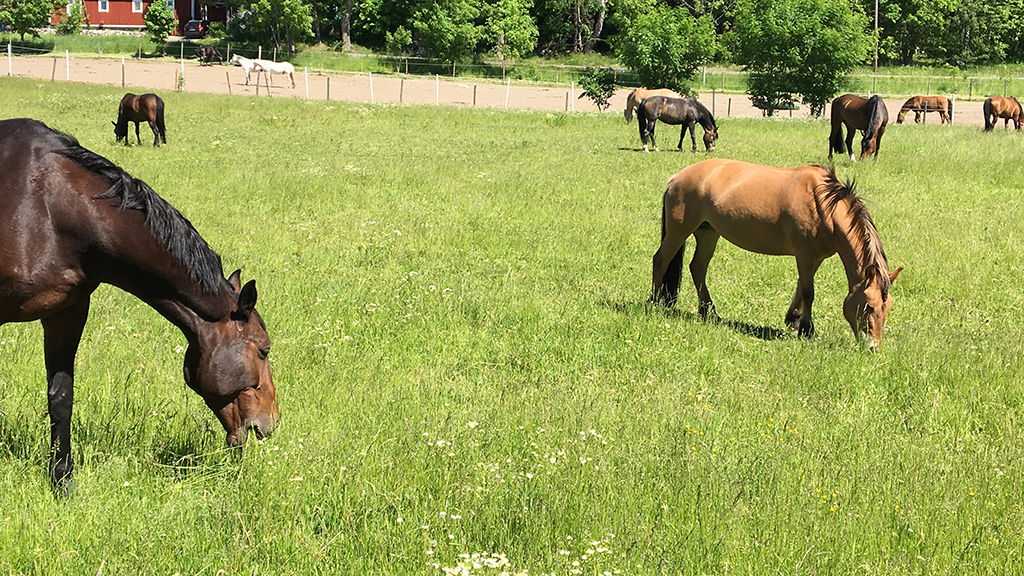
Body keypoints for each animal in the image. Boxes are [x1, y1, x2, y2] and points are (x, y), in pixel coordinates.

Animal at [0, 118, 280, 491]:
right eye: (263, 350)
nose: (271, 420)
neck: (46, 205)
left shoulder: (67, 312)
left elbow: (61, 397)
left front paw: (62, 479)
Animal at [651, 156, 901, 344]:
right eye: (868, 306)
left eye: (887, 307)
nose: (872, 347)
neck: (823, 205)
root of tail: (676, 177)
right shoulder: (804, 256)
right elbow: (809, 292)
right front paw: (807, 330)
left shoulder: (815, 258)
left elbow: (801, 288)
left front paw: (793, 319)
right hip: (679, 230)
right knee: (661, 259)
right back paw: (654, 301)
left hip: (708, 233)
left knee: (698, 267)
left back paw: (709, 312)